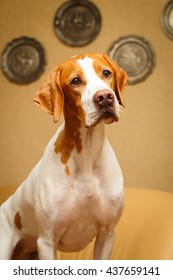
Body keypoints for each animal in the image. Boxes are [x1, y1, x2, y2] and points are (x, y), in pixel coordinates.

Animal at [0, 53, 127, 260]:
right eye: (75, 81)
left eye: (106, 73)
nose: (105, 97)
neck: (87, 155)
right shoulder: (46, 241)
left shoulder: (107, 234)